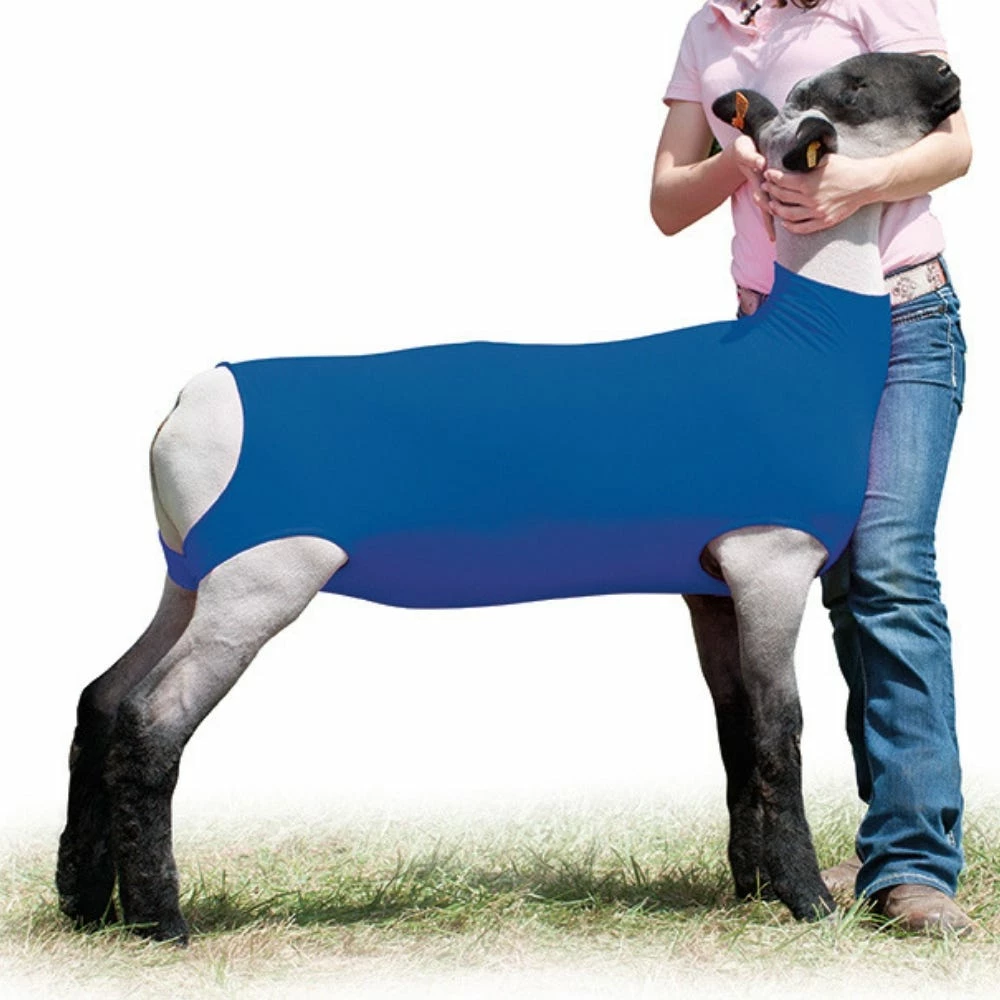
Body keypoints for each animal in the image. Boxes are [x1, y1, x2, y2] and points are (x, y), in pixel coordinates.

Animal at [56, 52, 961, 942]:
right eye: (852, 86)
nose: (948, 74)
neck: (804, 347)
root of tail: (195, 398)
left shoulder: (708, 579)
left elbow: (735, 730)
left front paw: (751, 887)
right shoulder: (767, 556)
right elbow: (781, 731)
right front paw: (806, 900)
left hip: (192, 573)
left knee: (101, 697)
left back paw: (85, 901)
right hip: (262, 576)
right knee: (151, 717)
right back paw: (159, 919)